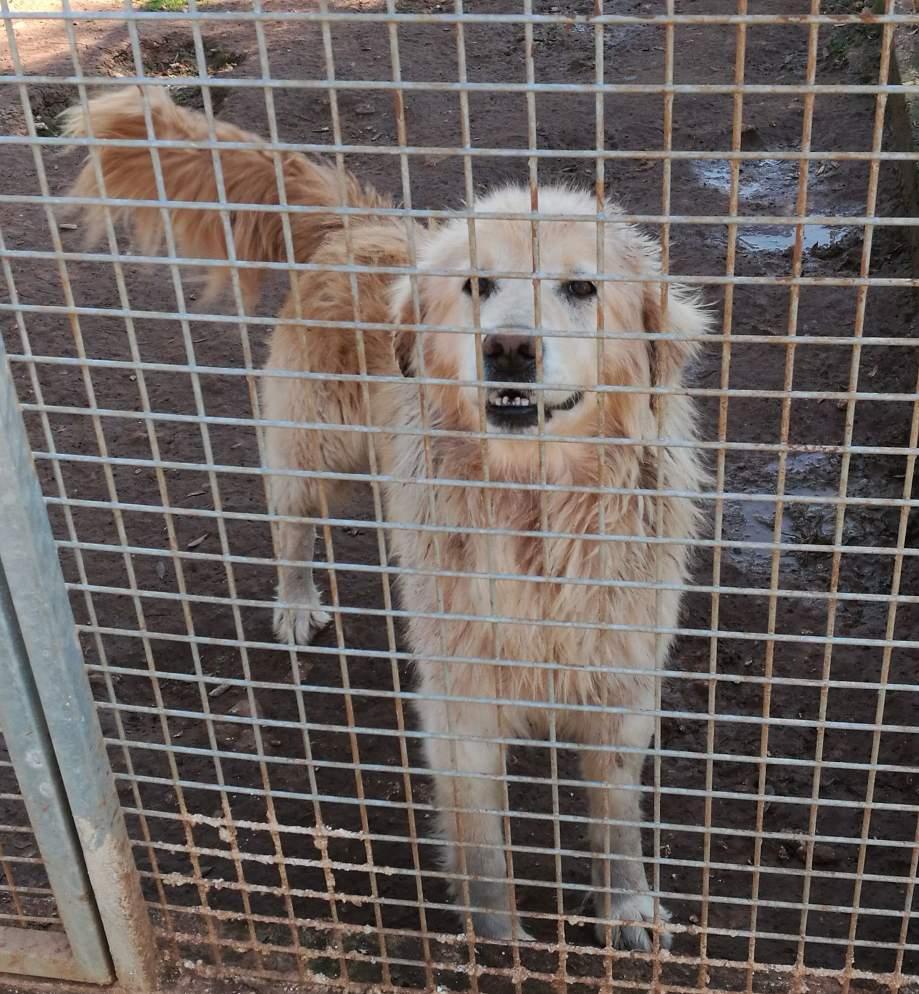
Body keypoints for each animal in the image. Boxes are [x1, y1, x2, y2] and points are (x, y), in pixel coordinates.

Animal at [64, 89, 712, 948]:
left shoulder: (622, 686)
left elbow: (616, 820)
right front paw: (498, 943)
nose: (507, 349)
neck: (535, 510)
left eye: (580, 289)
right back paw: (295, 603)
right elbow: (484, 850)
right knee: (293, 530)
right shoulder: (461, 706)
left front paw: (627, 908)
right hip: (306, 451)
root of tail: (358, 223)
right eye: (478, 284)